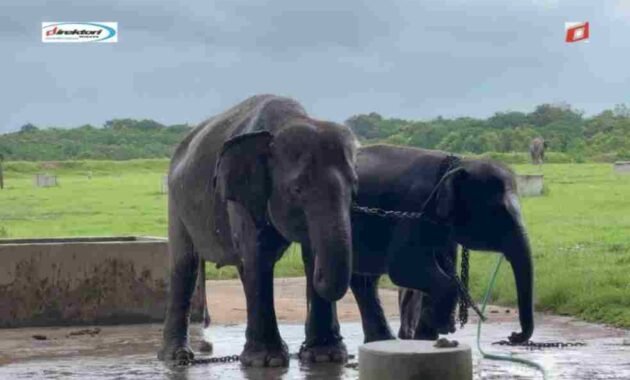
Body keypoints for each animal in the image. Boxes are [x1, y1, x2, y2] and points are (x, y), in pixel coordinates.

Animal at [159, 93, 360, 366]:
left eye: (354, 187)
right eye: (297, 189)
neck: (288, 121)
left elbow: (308, 252)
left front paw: (325, 357)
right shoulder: (242, 196)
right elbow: (258, 255)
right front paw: (267, 361)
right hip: (176, 202)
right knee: (185, 264)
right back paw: (176, 357)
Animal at [350, 145, 540, 344]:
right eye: (498, 212)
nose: (513, 335)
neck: (457, 164)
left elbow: (444, 267)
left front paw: (427, 336)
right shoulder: (414, 209)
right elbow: (405, 268)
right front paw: (442, 327)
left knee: (364, 281)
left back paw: (382, 340)